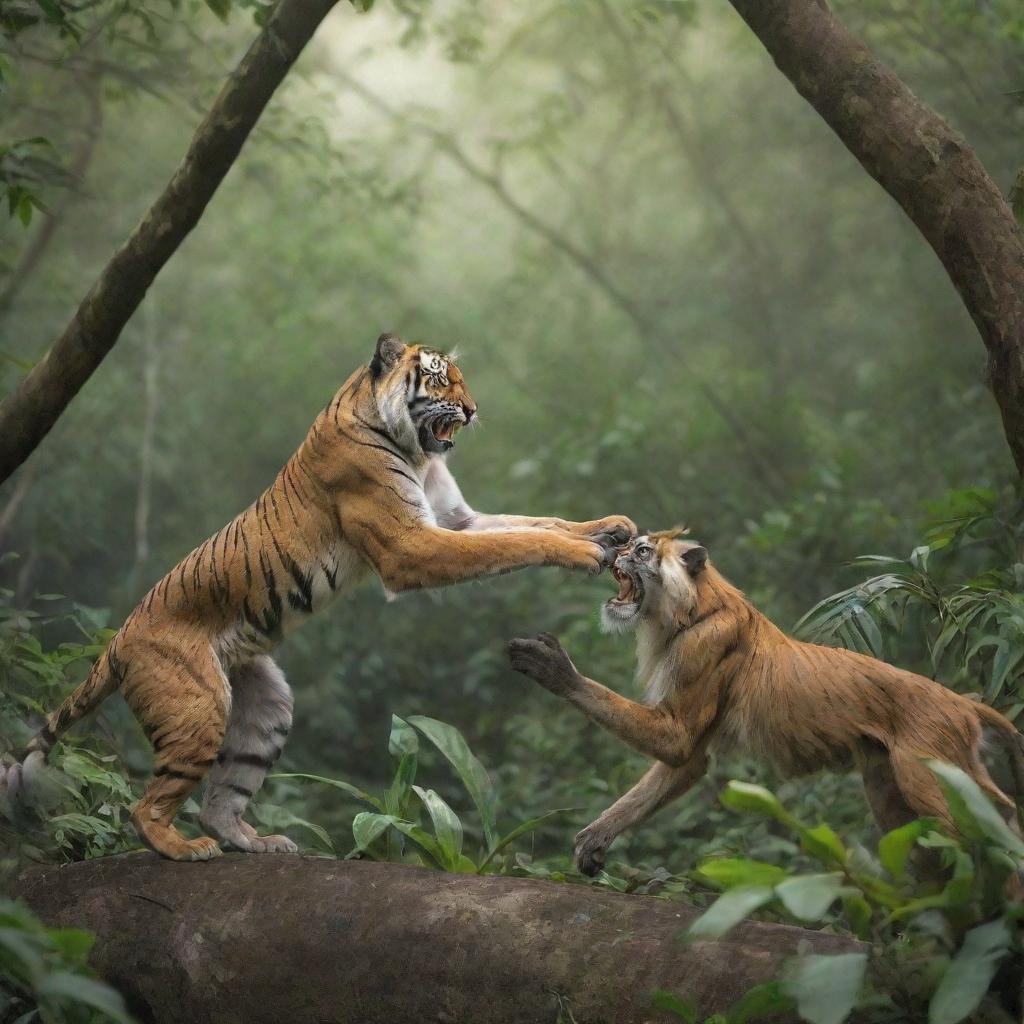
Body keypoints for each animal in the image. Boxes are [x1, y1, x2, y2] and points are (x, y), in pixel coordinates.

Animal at [2, 333, 630, 856]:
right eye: (440, 380)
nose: (474, 410)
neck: (416, 450)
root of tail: (119, 638)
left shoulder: (456, 520)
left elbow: (532, 523)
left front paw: (611, 529)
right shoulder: (412, 546)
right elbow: (521, 539)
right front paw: (587, 554)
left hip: (265, 709)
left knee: (220, 798)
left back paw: (258, 843)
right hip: (198, 707)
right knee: (146, 806)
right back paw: (182, 848)